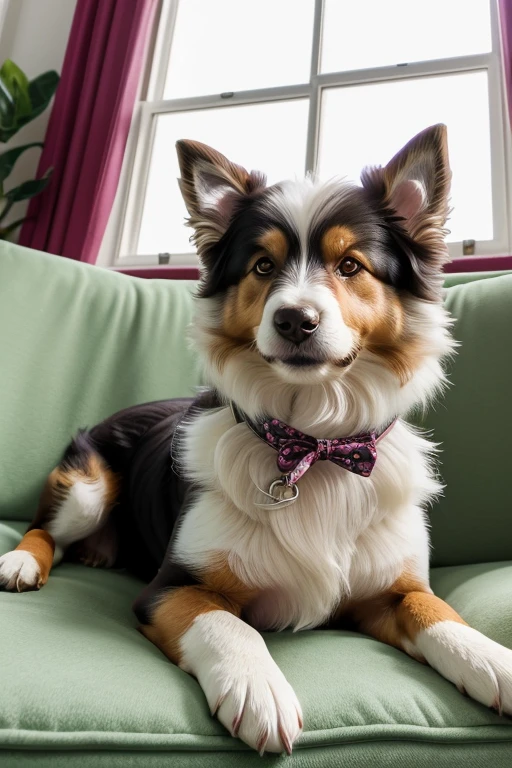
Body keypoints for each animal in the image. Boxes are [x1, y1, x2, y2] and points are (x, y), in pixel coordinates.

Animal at [2, 126, 510, 756]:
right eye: (263, 265)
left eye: (350, 265)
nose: (295, 320)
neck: (314, 444)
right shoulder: (173, 586)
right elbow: (228, 624)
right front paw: (258, 688)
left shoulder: (393, 591)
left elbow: (437, 610)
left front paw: (491, 659)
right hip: (87, 487)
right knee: (44, 528)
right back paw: (21, 563)